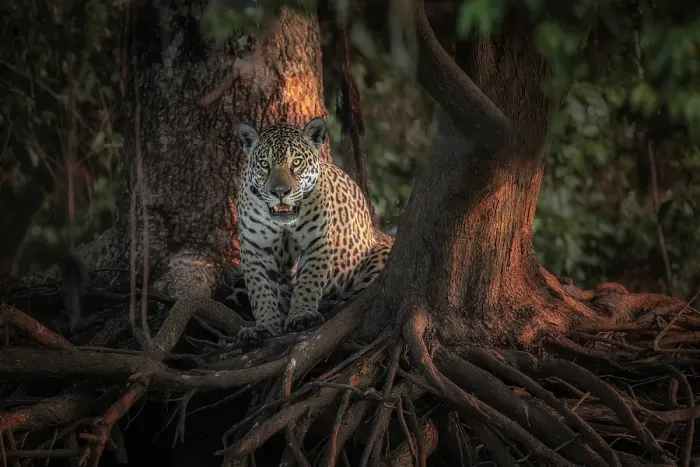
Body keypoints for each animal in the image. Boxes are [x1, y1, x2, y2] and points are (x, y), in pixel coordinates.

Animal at [234, 117, 393, 342]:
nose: (280, 192)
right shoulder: (255, 247)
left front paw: (302, 315)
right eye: (265, 164)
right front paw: (264, 326)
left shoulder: (316, 241)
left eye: (296, 163)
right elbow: (260, 290)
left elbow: (309, 281)